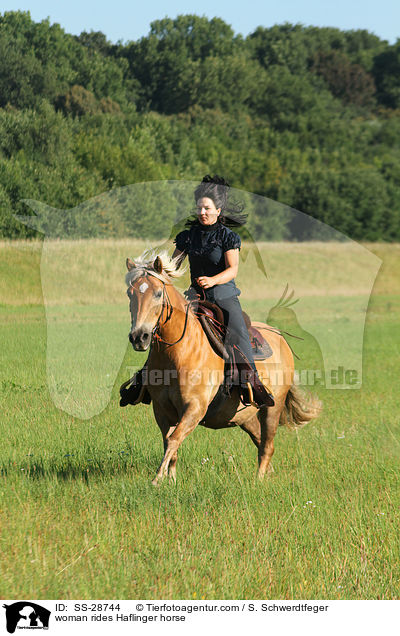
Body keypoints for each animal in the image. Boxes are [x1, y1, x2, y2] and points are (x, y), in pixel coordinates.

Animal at [123, 251, 320, 484]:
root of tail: (280, 338)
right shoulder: (161, 410)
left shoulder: (195, 408)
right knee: (259, 440)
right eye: (130, 294)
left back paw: (258, 480)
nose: (139, 337)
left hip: (273, 407)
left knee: (267, 446)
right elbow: (170, 443)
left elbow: (173, 440)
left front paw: (157, 480)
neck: (177, 353)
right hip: (244, 415)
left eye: (158, 293)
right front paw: (170, 480)